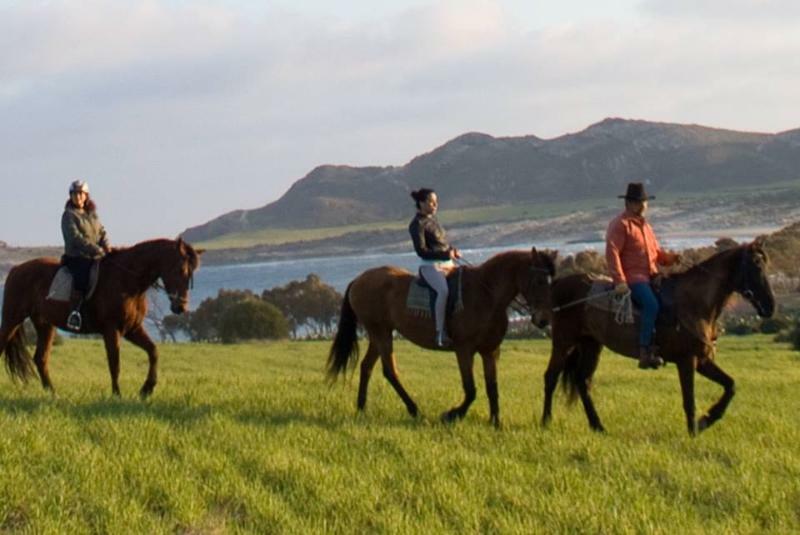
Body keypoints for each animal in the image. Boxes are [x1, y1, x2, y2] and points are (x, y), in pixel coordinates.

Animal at [0, 239, 203, 398]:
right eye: (180, 269)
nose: (181, 307)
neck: (127, 281)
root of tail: (16, 269)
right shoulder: (111, 329)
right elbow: (115, 362)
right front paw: (117, 395)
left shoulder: (132, 329)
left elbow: (153, 351)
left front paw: (147, 389)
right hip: (13, 318)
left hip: (45, 325)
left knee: (41, 358)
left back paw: (53, 394)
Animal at [324, 247, 556, 428]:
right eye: (539, 280)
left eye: (551, 281)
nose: (544, 319)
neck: (487, 295)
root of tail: (358, 279)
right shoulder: (464, 350)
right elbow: (471, 390)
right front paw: (451, 415)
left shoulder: (490, 351)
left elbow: (492, 386)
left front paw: (496, 422)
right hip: (381, 333)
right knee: (390, 371)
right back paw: (414, 409)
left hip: (379, 334)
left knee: (367, 367)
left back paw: (362, 408)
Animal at [544, 242, 776, 436]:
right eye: (756, 265)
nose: (770, 306)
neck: (694, 302)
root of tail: (559, 284)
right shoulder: (687, 360)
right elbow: (689, 400)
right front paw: (694, 431)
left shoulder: (702, 361)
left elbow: (731, 386)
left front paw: (707, 420)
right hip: (564, 342)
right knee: (551, 377)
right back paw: (545, 422)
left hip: (591, 345)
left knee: (582, 381)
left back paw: (598, 426)